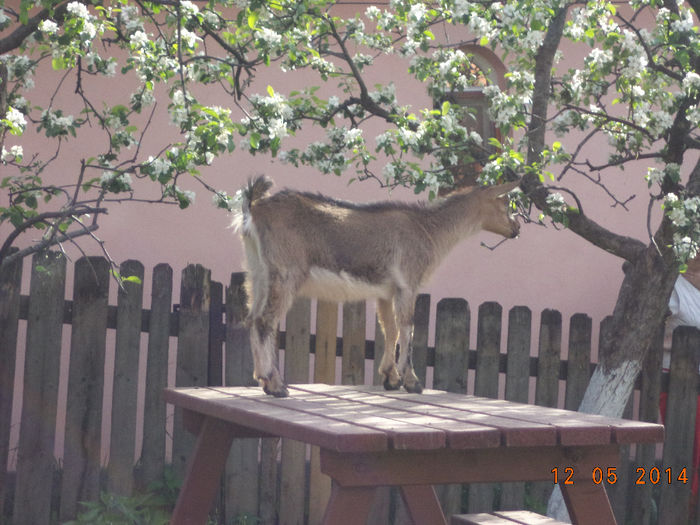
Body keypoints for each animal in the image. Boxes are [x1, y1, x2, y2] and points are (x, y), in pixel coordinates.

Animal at [235, 174, 520, 396]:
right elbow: (407, 328)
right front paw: (411, 382)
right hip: (286, 273)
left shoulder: (386, 291)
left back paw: (263, 379)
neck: (428, 229)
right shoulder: (408, 283)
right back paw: (276, 385)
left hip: (258, 271)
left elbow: (390, 329)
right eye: (505, 202)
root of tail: (254, 209)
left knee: (252, 318)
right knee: (265, 321)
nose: (516, 228)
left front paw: (390, 378)